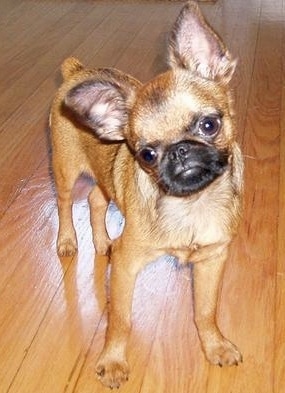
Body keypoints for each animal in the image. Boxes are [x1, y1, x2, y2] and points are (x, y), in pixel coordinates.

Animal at [49, 0, 242, 388]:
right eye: (147, 154)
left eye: (209, 125)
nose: (179, 151)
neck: (191, 206)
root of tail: (76, 72)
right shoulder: (127, 265)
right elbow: (120, 320)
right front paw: (112, 362)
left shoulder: (212, 260)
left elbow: (206, 310)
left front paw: (215, 346)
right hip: (66, 171)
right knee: (64, 204)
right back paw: (67, 242)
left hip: (101, 181)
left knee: (95, 201)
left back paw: (102, 242)